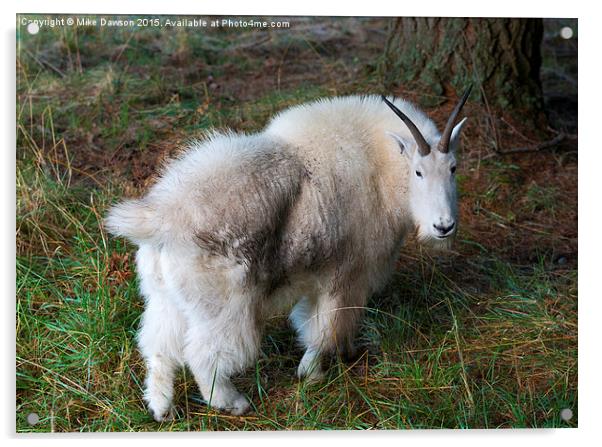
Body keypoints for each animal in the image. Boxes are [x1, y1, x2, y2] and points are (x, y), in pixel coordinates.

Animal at [104, 89, 468, 422]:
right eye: (418, 172)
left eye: (453, 167)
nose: (444, 226)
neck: (381, 167)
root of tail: (162, 220)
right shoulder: (346, 277)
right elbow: (325, 328)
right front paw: (312, 373)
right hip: (221, 307)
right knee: (203, 355)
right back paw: (231, 402)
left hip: (165, 298)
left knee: (158, 347)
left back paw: (161, 408)